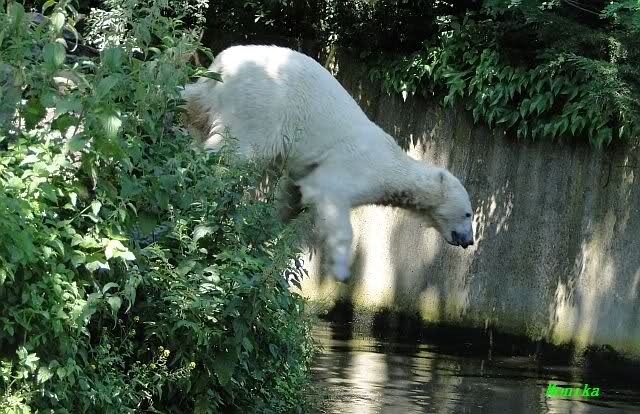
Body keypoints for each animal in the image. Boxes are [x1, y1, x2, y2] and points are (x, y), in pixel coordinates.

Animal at [181, 45, 474, 282]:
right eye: (469, 213)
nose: (469, 241)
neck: (393, 161)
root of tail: (225, 62)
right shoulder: (354, 168)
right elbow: (329, 197)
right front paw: (342, 270)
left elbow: (293, 195)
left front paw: (265, 233)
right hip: (260, 106)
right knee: (233, 150)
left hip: (213, 88)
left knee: (193, 104)